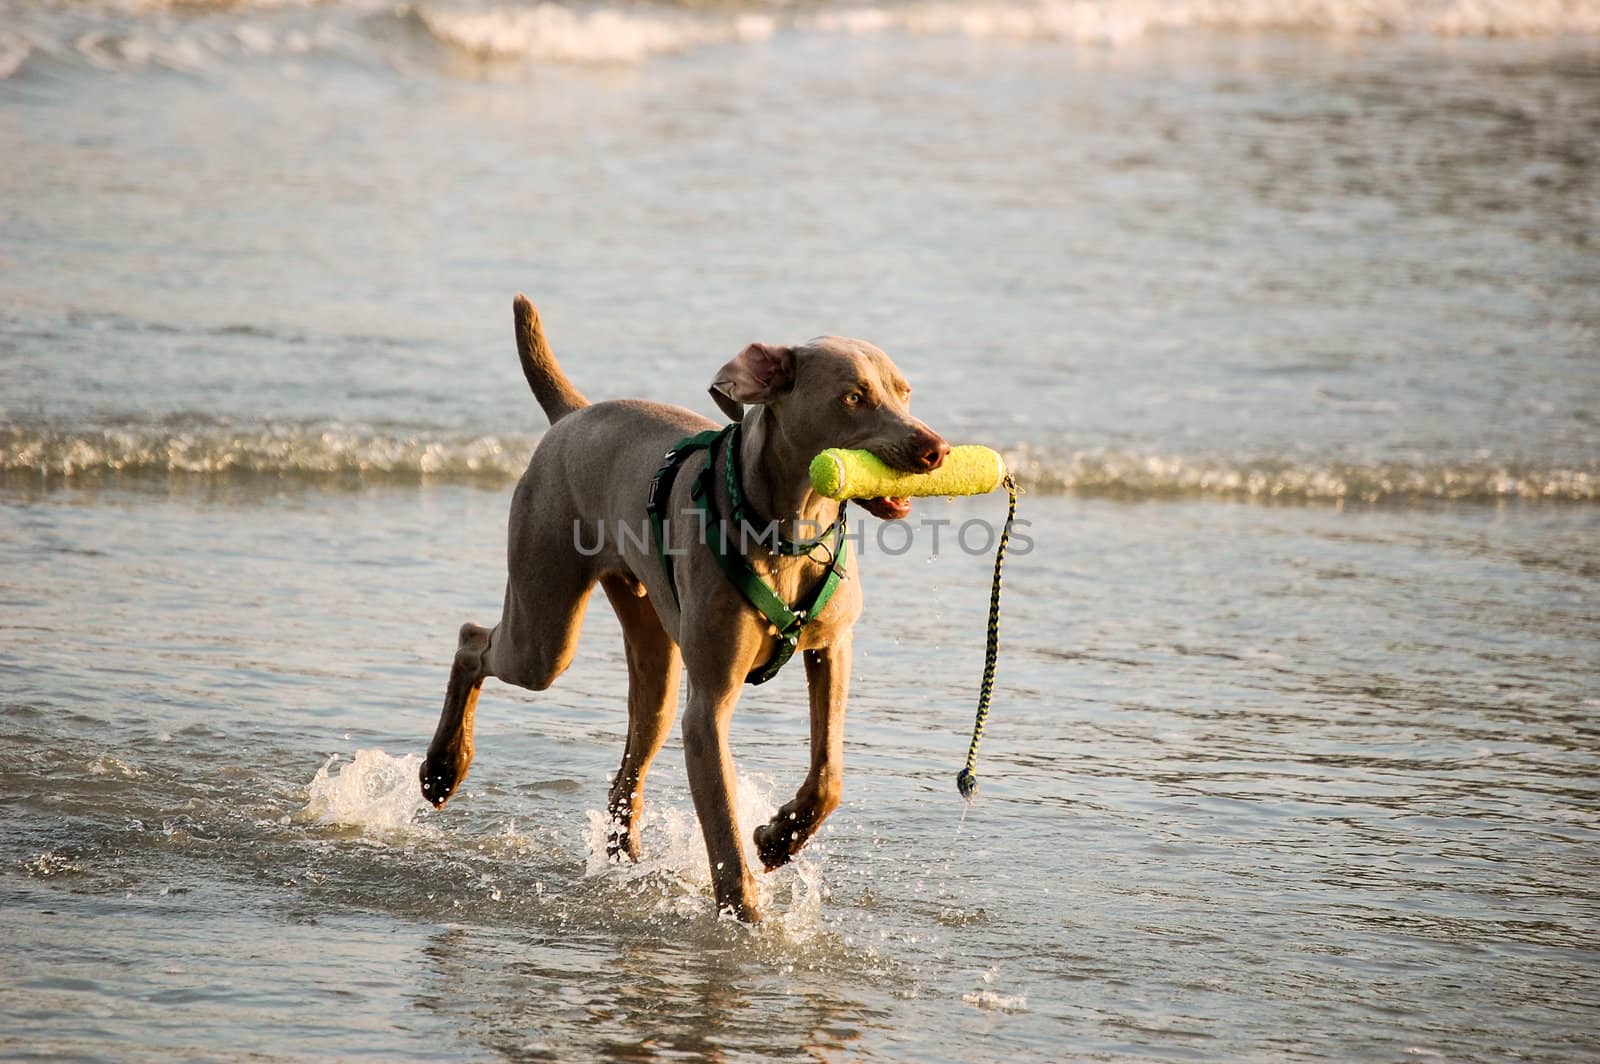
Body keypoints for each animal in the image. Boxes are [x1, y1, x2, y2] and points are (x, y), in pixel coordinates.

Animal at [422, 294, 947, 915]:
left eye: (904, 391)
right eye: (853, 397)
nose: (935, 449)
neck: (789, 530)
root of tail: (574, 413)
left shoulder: (832, 647)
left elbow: (830, 773)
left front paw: (778, 839)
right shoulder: (708, 708)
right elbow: (723, 830)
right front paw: (747, 915)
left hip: (650, 651)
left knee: (633, 755)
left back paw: (626, 859)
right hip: (545, 629)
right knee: (473, 639)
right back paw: (442, 767)